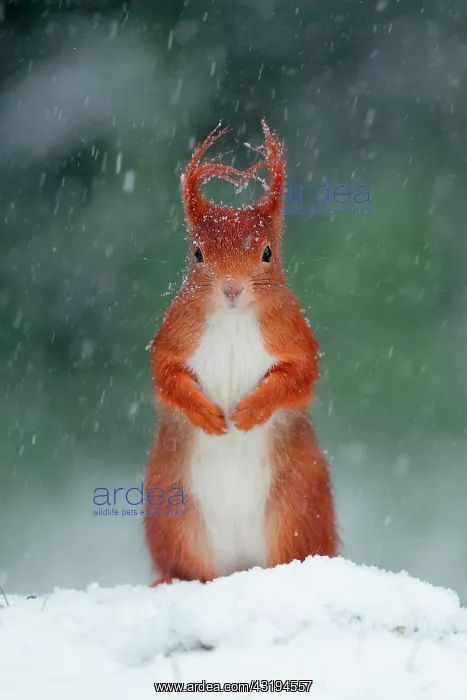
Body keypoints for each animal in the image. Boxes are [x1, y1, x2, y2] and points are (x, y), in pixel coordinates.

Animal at [145, 120, 338, 586]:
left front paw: (248, 412)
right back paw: (171, 579)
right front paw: (209, 416)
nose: (231, 288)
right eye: (197, 253)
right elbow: (165, 376)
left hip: (297, 507)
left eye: (267, 251)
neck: (233, 320)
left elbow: (300, 376)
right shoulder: (173, 339)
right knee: (187, 566)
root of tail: (239, 566)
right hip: (172, 514)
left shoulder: (295, 338)